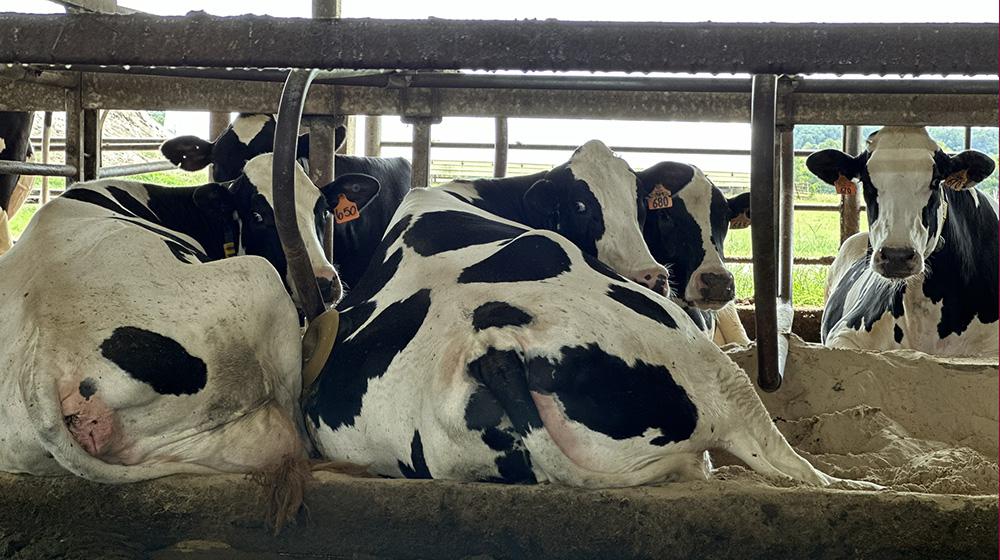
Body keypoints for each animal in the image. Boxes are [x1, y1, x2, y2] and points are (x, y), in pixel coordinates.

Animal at [0, 154, 340, 528]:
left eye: (323, 210)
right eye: (259, 216)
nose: (325, 283)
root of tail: (43, 355)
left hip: (175, 443)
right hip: (260, 280)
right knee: (292, 423)